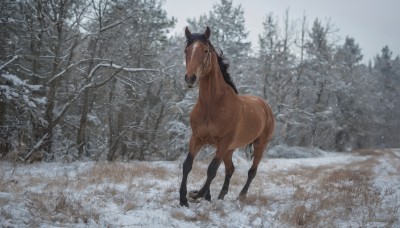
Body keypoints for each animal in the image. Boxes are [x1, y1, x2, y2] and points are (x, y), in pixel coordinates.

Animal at [179, 26, 276, 207]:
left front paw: (196, 195)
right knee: (230, 169)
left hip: (259, 145)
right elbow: (187, 165)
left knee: (252, 171)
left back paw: (241, 196)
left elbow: (212, 170)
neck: (212, 106)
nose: (190, 78)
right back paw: (220, 196)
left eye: (205, 50)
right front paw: (183, 199)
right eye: (186, 50)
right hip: (230, 149)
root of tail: (265, 106)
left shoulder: (223, 142)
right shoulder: (197, 138)